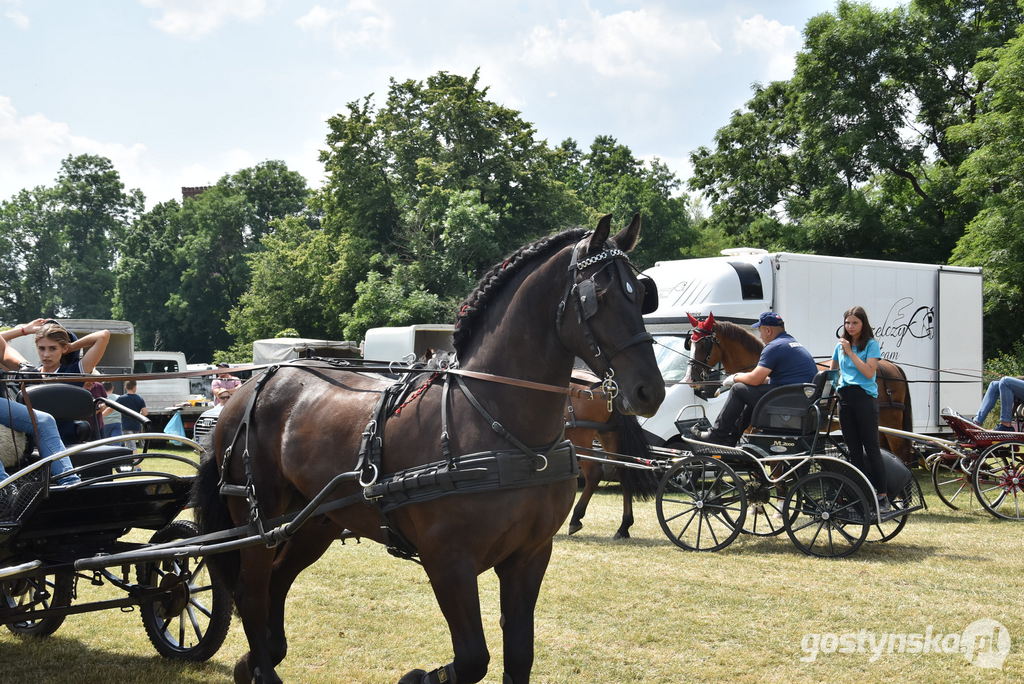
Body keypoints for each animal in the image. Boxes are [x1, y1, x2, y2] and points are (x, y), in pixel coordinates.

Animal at [565, 370, 659, 536]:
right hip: (608, 435)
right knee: (623, 471)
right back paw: (624, 526)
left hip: (580, 436)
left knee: (595, 473)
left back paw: (576, 518)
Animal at [684, 313, 917, 462]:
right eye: (690, 343)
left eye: (704, 344)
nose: (690, 378)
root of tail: (891, 366)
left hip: (889, 423)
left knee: (901, 453)